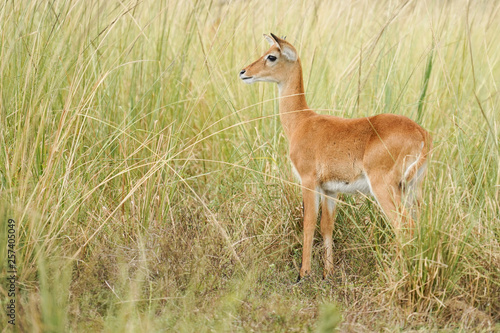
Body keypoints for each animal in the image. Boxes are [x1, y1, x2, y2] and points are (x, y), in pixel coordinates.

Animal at [238, 33, 430, 278]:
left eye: (272, 56)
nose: (243, 72)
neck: (301, 122)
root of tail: (422, 133)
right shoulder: (330, 189)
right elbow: (326, 225)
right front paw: (328, 271)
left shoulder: (308, 181)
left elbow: (309, 223)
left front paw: (304, 272)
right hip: (413, 188)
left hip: (385, 188)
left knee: (404, 227)